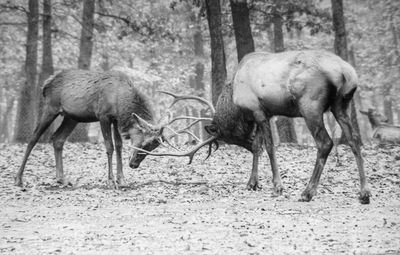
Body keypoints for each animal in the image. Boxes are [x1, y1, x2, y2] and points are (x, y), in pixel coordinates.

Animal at [14, 68, 168, 188]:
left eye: (153, 147)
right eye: (144, 143)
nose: (134, 164)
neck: (120, 103)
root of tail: (45, 85)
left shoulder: (115, 119)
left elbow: (119, 145)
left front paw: (122, 180)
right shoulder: (103, 115)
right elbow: (109, 146)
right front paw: (111, 181)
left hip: (71, 117)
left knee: (58, 138)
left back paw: (62, 179)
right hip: (51, 107)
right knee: (34, 138)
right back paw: (18, 179)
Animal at [134, 50, 372, 205]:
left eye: (226, 137)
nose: (243, 143)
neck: (234, 103)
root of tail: (347, 73)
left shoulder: (259, 110)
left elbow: (269, 147)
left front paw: (277, 186)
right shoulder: (263, 114)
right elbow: (259, 146)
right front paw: (252, 183)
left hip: (310, 105)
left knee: (325, 143)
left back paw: (307, 192)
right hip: (342, 104)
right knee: (354, 141)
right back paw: (364, 193)